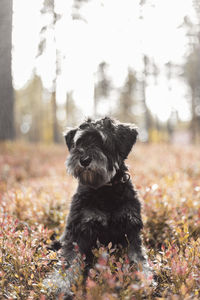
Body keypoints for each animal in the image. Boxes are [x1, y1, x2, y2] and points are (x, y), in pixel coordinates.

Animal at [45, 118, 151, 300]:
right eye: (79, 142)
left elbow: (137, 258)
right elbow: (69, 261)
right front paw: (60, 286)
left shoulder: (131, 230)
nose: (84, 160)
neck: (104, 190)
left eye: (102, 142)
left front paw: (143, 280)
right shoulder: (78, 231)